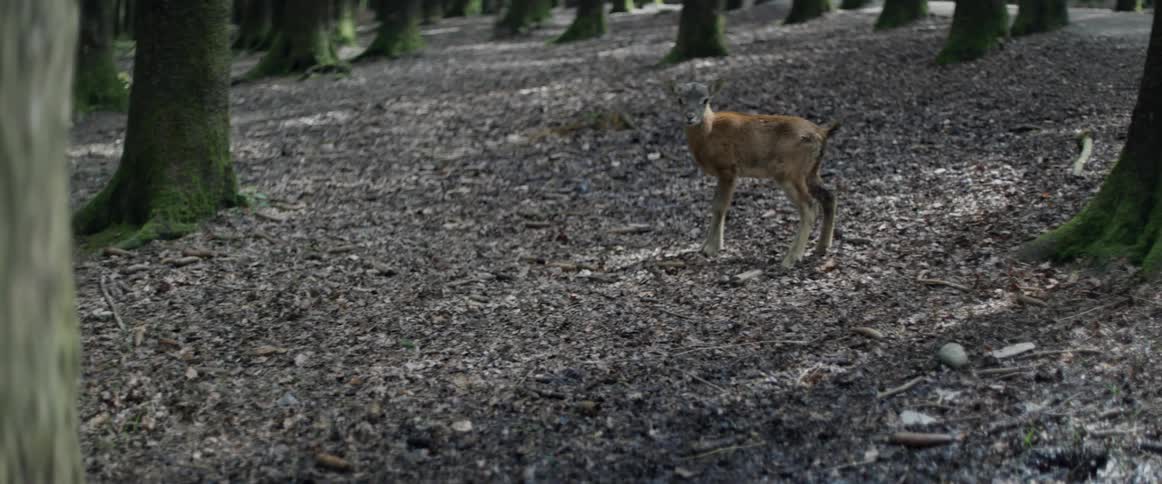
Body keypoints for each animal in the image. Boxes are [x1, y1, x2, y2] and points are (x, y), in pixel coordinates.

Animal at [666, 79, 840, 269]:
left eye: (705, 100)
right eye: (680, 99)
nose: (690, 116)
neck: (709, 134)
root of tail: (823, 133)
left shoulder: (728, 168)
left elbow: (720, 205)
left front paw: (711, 249)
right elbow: (717, 205)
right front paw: (705, 246)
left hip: (790, 172)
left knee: (809, 206)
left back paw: (790, 259)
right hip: (811, 171)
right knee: (829, 196)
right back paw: (821, 248)